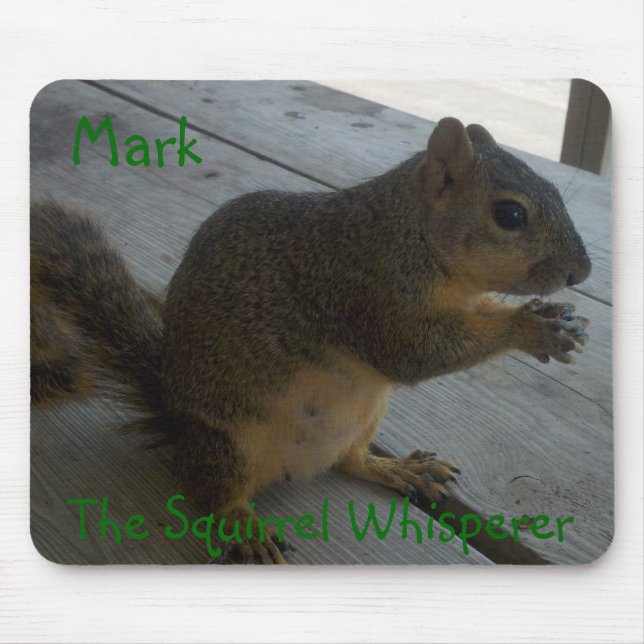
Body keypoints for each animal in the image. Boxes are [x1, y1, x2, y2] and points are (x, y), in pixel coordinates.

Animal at [31, 117, 591, 564]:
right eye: (510, 214)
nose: (581, 272)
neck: (412, 233)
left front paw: (554, 317)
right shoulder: (364, 290)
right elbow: (413, 352)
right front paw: (531, 327)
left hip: (362, 419)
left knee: (350, 461)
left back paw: (400, 468)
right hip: (227, 445)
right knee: (203, 490)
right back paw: (243, 527)